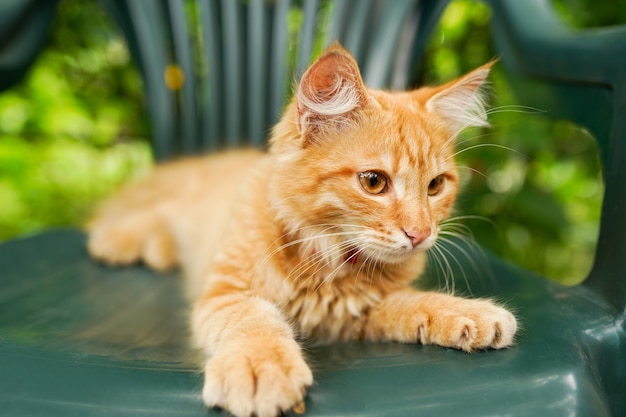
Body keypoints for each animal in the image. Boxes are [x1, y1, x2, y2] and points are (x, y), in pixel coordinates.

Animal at [88, 44, 516, 416]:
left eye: (436, 185)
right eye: (374, 182)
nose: (421, 234)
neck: (325, 256)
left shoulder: (355, 313)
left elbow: (411, 303)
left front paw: (468, 313)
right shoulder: (227, 293)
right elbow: (253, 318)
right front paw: (261, 366)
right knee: (159, 210)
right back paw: (116, 241)